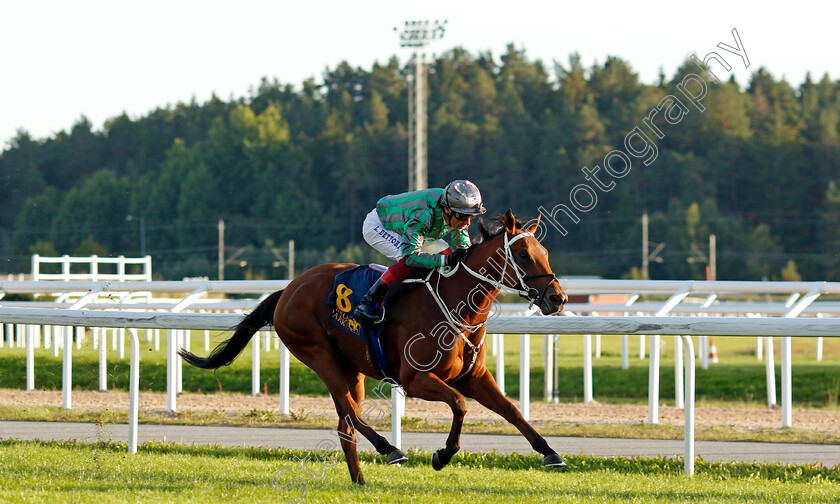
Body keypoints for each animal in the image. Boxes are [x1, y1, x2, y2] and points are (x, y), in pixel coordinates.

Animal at [180, 210, 568, 484]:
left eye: (545, 251)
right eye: (522, 254)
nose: (558, 298)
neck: (456, 304)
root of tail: (288, 288)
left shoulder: (474, 376)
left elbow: (512, 411)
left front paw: (550, 452)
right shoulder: (415, 380)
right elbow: (459, 404)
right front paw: (442, 455)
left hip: (351, 369)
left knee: (345, 422)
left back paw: (360, 481)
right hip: (318, 354)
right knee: (351, 413)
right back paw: (389, 449)